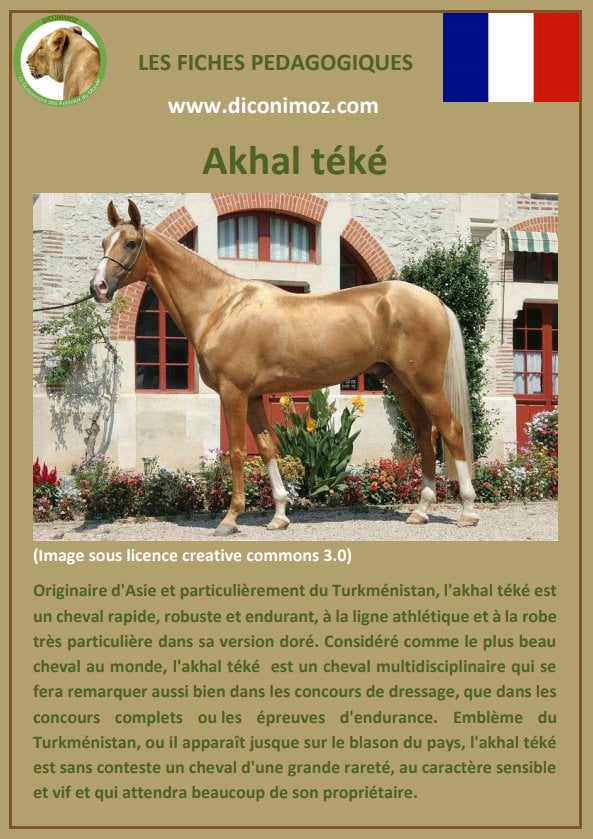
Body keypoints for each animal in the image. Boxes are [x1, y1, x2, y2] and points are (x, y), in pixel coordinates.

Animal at [89, 199, 478, 535]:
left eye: (130, 243)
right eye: (105, 241)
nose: (98, 287)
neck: (221, 307)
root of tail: (434, 301)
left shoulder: (233, 394)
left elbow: (236, 453)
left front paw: (230, 519)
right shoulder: (253, 397)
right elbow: (265, 449)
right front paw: (278, 515)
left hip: (424, 382)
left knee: (450, 429)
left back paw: (468, 511)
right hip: (399, 381)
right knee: (425, 434)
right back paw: (420, 511)